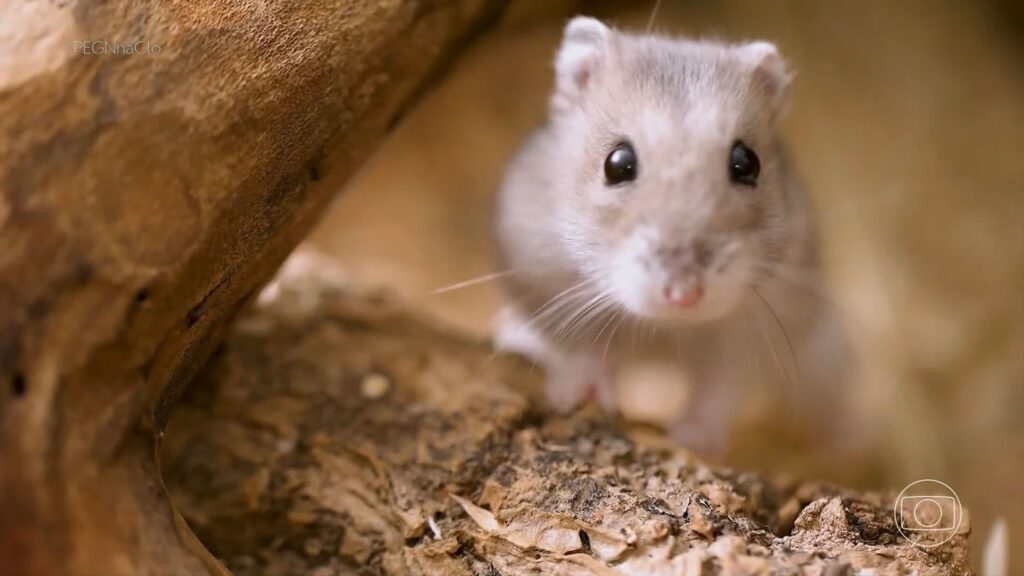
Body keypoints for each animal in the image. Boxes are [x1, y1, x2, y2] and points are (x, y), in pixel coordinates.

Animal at [494, 17, 854, 451]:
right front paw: (578, 399)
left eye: (747, 162)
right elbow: (581, 352)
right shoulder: (544, 283)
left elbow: (720, 390)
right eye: (617, 163)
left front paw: (692, 440)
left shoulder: (758, 330)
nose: (684, 296)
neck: (666, 329)